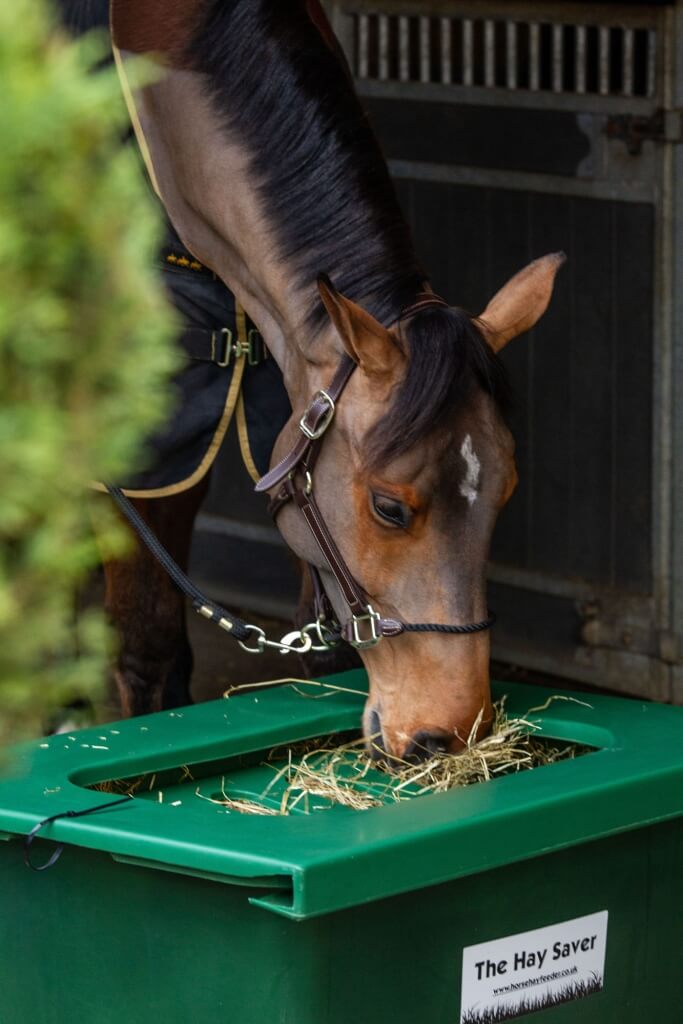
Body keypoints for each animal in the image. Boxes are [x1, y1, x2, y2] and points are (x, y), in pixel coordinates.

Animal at [107, 0, 565, 761]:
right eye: (388, 508)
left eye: (506, 489)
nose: (446, 734)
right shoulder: (155, 435)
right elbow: (144, 649)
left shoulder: (287, 422)